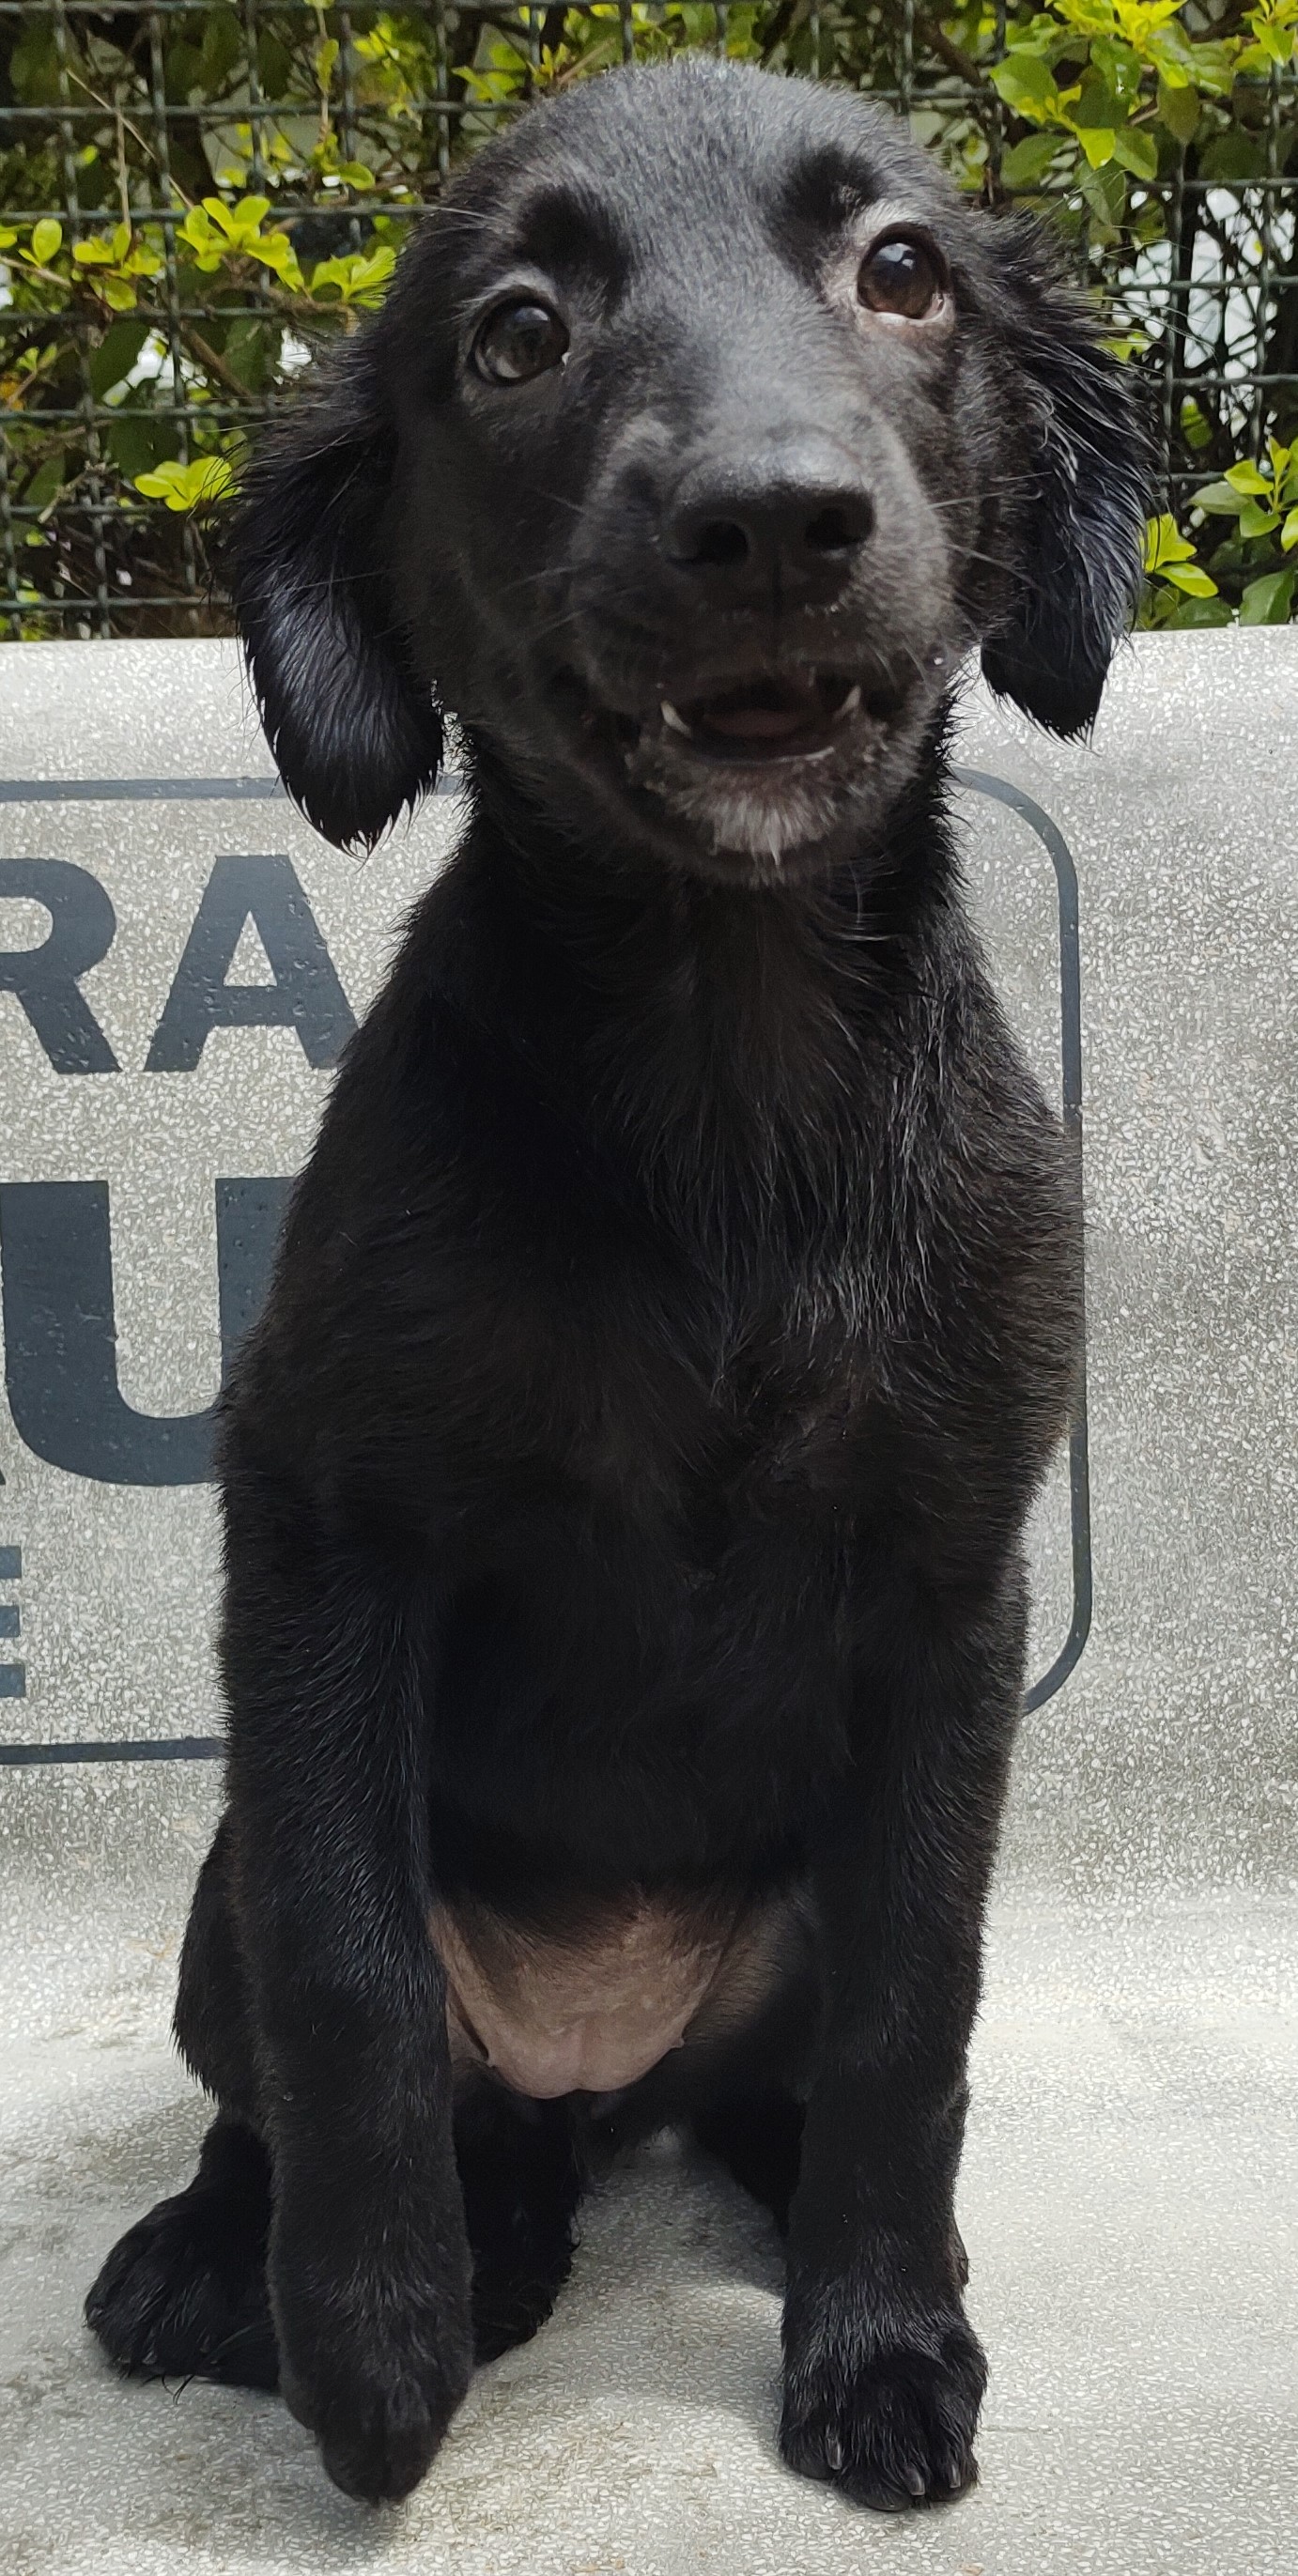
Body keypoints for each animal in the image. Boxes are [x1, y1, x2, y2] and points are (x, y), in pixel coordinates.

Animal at [84, 54, 1143, 2514]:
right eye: (516, 336)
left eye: (902, 269)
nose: (773, 520)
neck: (719, 1080)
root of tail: (602, 2073)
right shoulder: (321, 1535)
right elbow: (353, 1985)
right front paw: (369, 2340)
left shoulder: (949, 1593)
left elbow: (915, 2027)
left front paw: (883, 2332)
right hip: (216, 1887)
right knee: (306, 2065)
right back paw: (268, 2250)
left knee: (782, 2080)